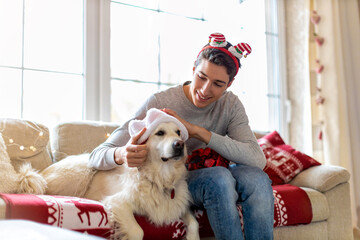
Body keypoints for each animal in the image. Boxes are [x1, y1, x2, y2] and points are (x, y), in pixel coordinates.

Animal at [41, 122, 201, 240]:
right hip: (82, 169)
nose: (180, 144)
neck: (160, 178)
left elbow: (195, 223)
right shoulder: (119, 202)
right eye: (160, 133)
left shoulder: (179, 206)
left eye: (178, 132)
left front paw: (192, 237)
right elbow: (137, 231)